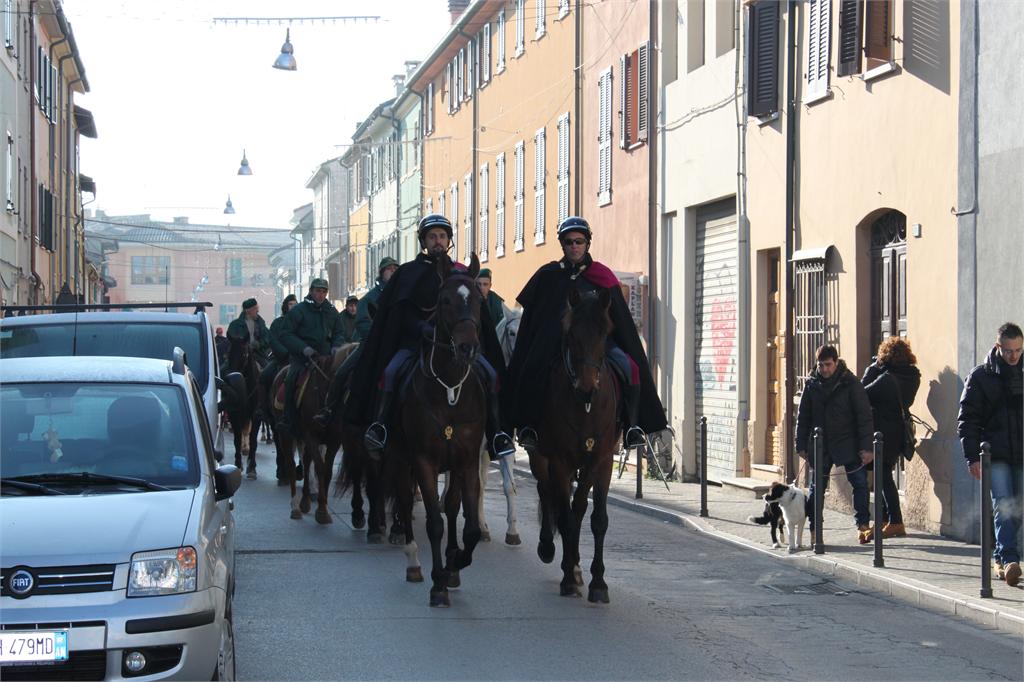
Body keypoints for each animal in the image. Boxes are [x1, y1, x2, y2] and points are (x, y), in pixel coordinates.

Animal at [220, 336, 264, 479]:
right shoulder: (234, 414)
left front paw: (252, 467)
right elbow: (237, 439)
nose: (230, 377)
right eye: (228, 352)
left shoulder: (256, 415)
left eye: (244, 354)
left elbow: (253, 439)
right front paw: (238, 464)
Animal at [270, 344, 357, 524]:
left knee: (306, 461)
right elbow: (320, 468)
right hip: (285, 435)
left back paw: (305, 500)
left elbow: (327, 471)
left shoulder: (334, 441)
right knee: (291, 465)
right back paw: (295, 506)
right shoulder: (311, 436)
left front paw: (322, 506)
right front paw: (322, 512)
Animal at [387, 253, 490, 607]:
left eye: (479, 300)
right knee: (405, 503)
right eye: (445, 300)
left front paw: (456, 562)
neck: (448, 390)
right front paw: (438, 581)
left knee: (452, 507)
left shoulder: (467, 461)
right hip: (400, 460)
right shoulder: (424, 462)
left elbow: (468, 525)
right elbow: (434, 522)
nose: (468, 347)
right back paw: (414, 562)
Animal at [529, 286, 621, 603]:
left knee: (573, 505)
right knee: (546, 492)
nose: (586, 387)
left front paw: (598, 582)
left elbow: (595, 517)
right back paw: (548, 548)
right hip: (540, 457)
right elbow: (566, 516)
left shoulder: (601, 461)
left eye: (605, 332)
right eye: (570, 334)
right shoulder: (559, 461)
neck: (586, 407)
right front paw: (568, 578)